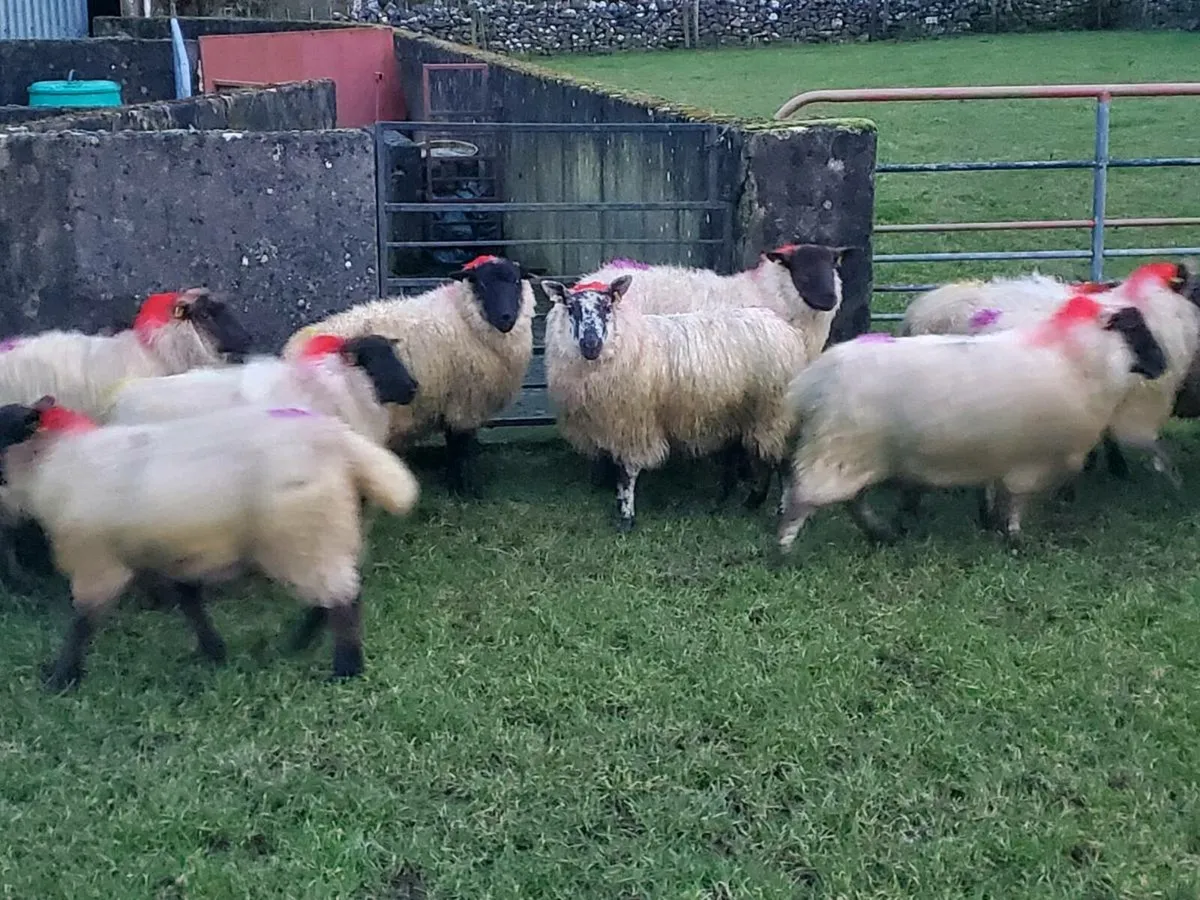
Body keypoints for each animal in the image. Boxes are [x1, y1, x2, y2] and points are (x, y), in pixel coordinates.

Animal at [0, 397, 420, 691]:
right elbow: (190, 604)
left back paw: (345, 669)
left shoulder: (98, 565)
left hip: (304, 536)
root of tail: (338, 438)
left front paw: (61, 678)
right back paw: (298, 643)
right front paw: (213, 651)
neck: (57, 463)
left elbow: (81, 624)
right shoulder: (171, 555)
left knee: (343, 599)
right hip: (327, 535)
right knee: (333, 594)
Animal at [282, 255, 536, 497]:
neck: (462, 317)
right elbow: (461, 449)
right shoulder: (465, 404)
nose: (506, 317)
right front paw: (466, 490)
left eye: (516, 281)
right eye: (482, 283)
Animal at [542, 274, 815, 533]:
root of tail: (787, 330)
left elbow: (627, 473)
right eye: (571, 308)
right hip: (752, 412)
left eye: (607, 307)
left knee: (782, 461)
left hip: (775, 411)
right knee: (763, 457)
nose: (591, 345)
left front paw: (626, 517)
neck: (626, 343)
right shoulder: (616, 426)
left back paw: (780, 509)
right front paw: (621, 506)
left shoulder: (634, 425)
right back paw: (751, 502)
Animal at [775, 294, 1168, 556]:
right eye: (1133, 328)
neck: (1078, 358)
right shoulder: (1030, 461)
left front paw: (992, 523)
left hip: (851, 454)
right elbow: (1015, 502)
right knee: (803, 497)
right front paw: (1014, 538)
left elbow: (997, 494)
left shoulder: (1002, 454)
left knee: (852, 499)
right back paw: (784, 550)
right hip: (837, 449)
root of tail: (815, 378)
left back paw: (881, 532)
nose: (1161, 365)